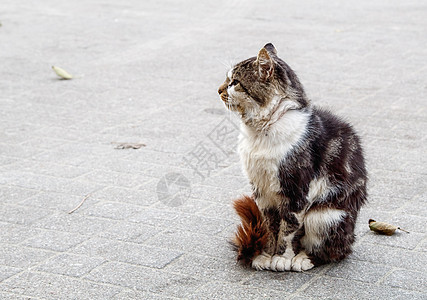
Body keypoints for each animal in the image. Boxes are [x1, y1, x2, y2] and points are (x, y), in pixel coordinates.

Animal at [217, 42, 368, 272]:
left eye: (234, 82)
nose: (218, 90)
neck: (260, 133)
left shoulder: (295, 190)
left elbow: (287, 229)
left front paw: (281, 258)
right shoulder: (262, 192)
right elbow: (270, 227)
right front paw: (266, 255)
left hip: (324, 217)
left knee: (333, 251)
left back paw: (302, 259)